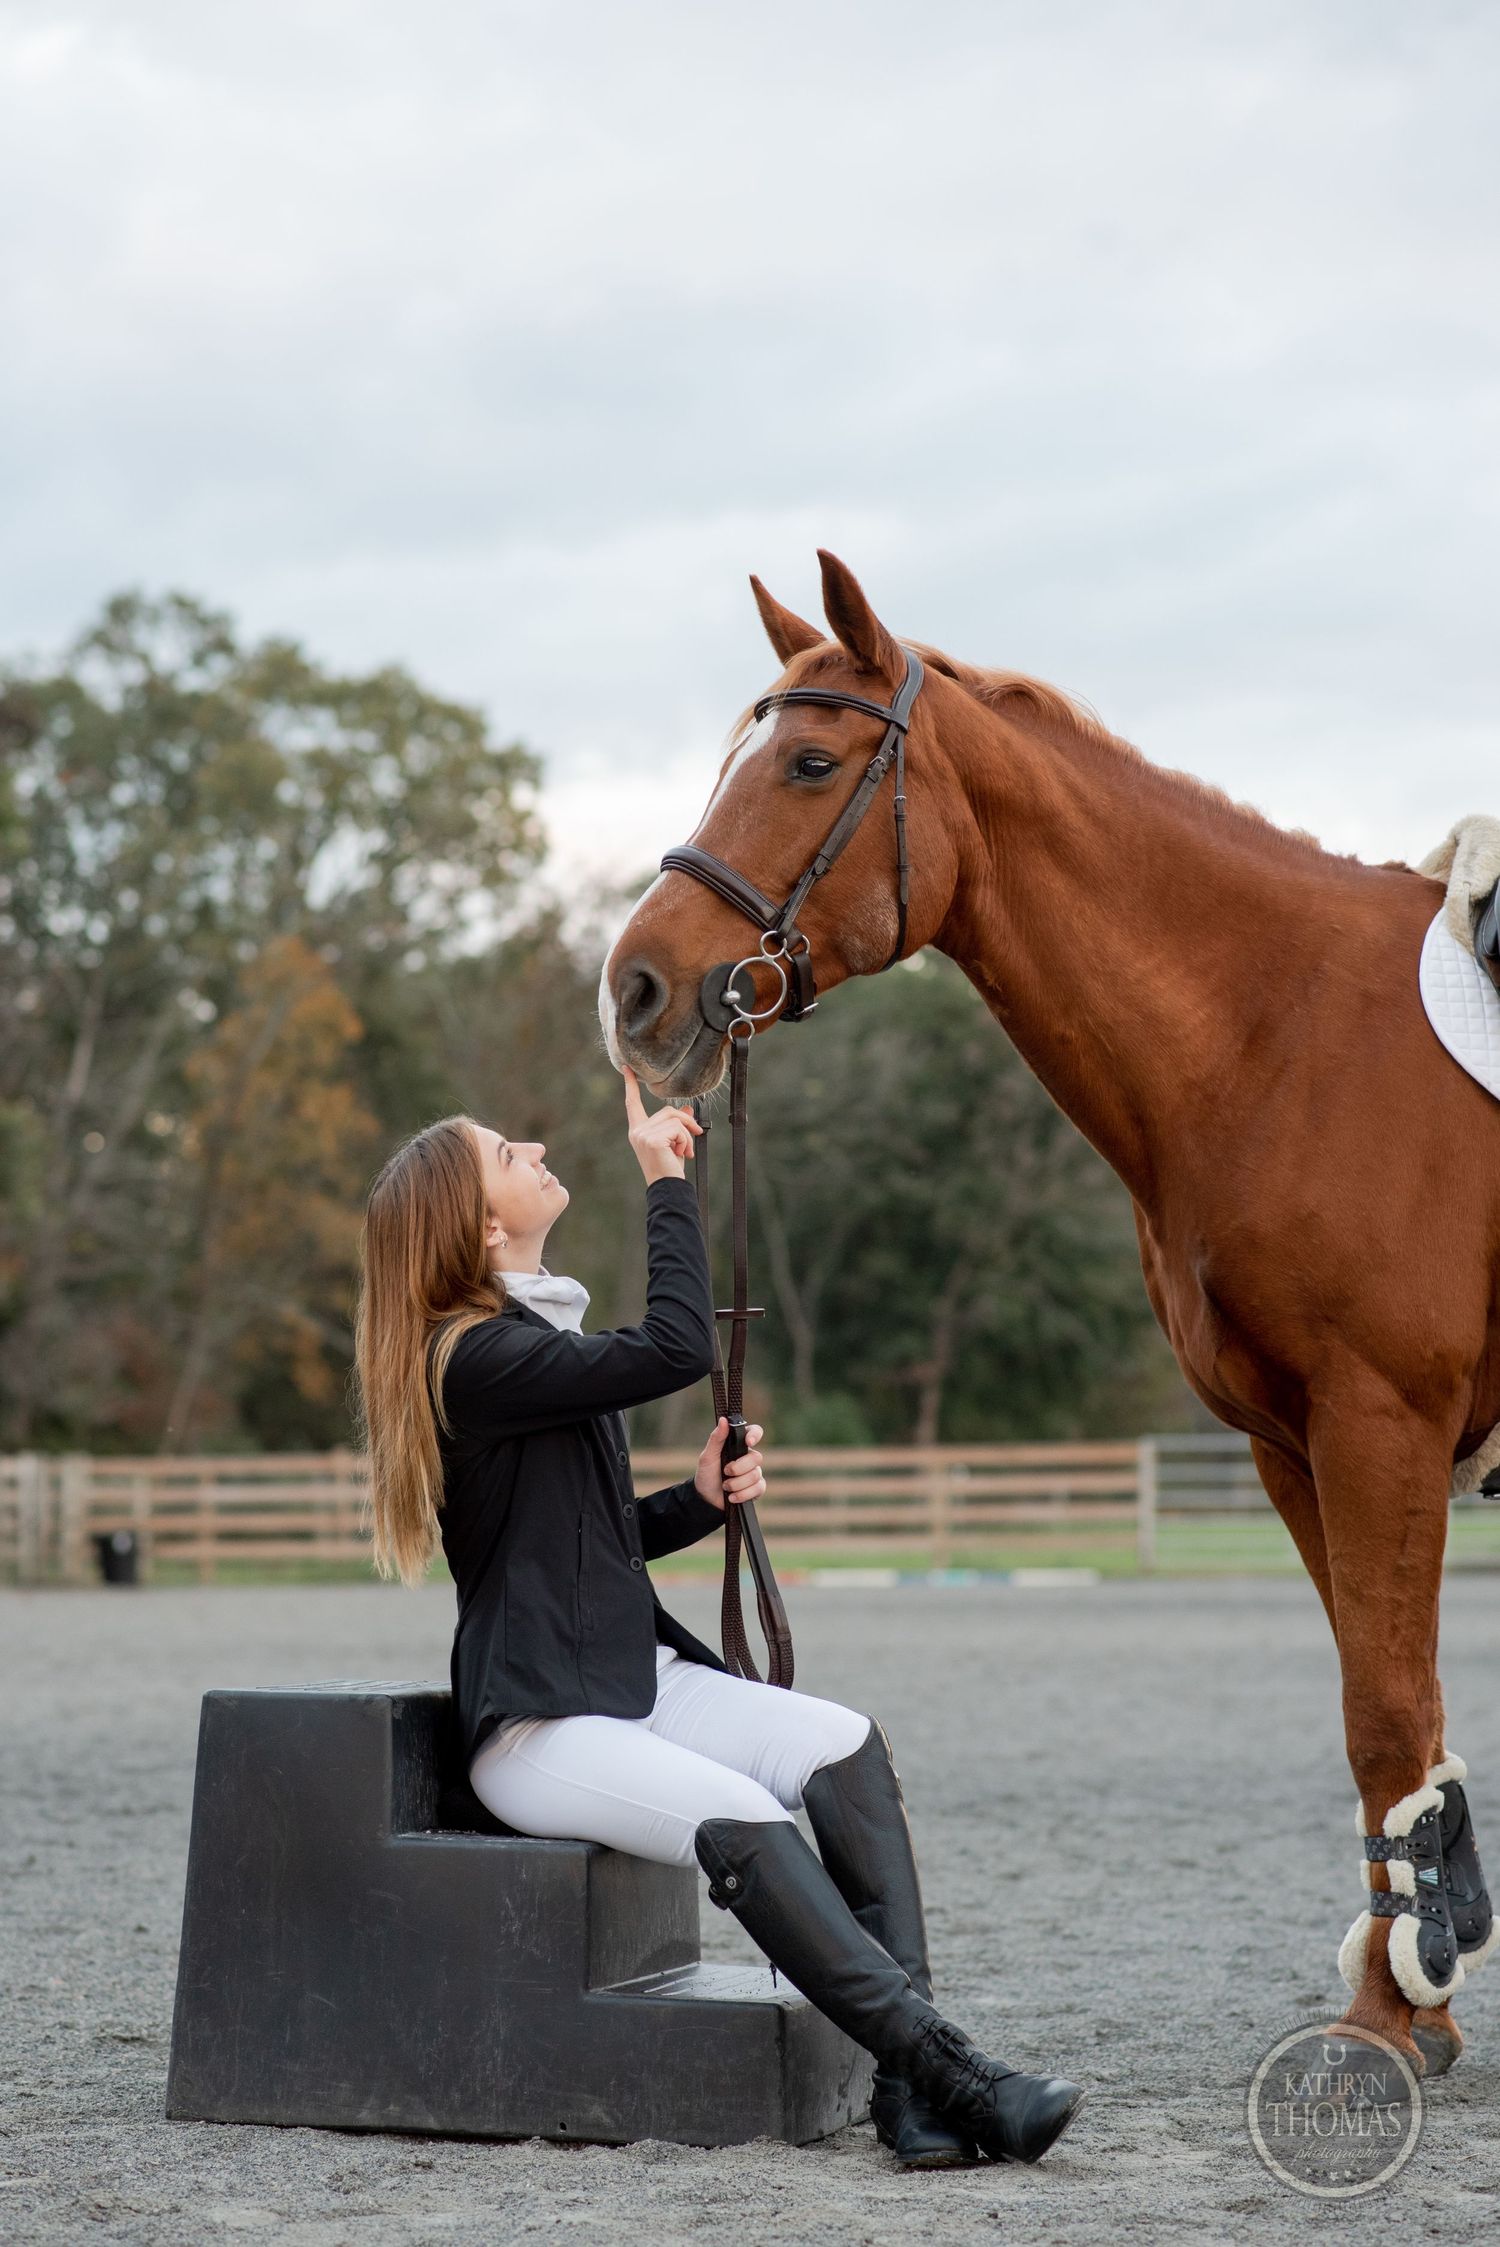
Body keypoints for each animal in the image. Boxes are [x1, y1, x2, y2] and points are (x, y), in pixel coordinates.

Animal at [597, 550, 1500, 2073]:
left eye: (810, 762)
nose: (638, 989)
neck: (1285, 1036)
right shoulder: (1295, 1447)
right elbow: (1396, 1710)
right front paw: (1414, 1998)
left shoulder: (1383, 1427)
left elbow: (1386, 1712)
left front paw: (1385, 2017)